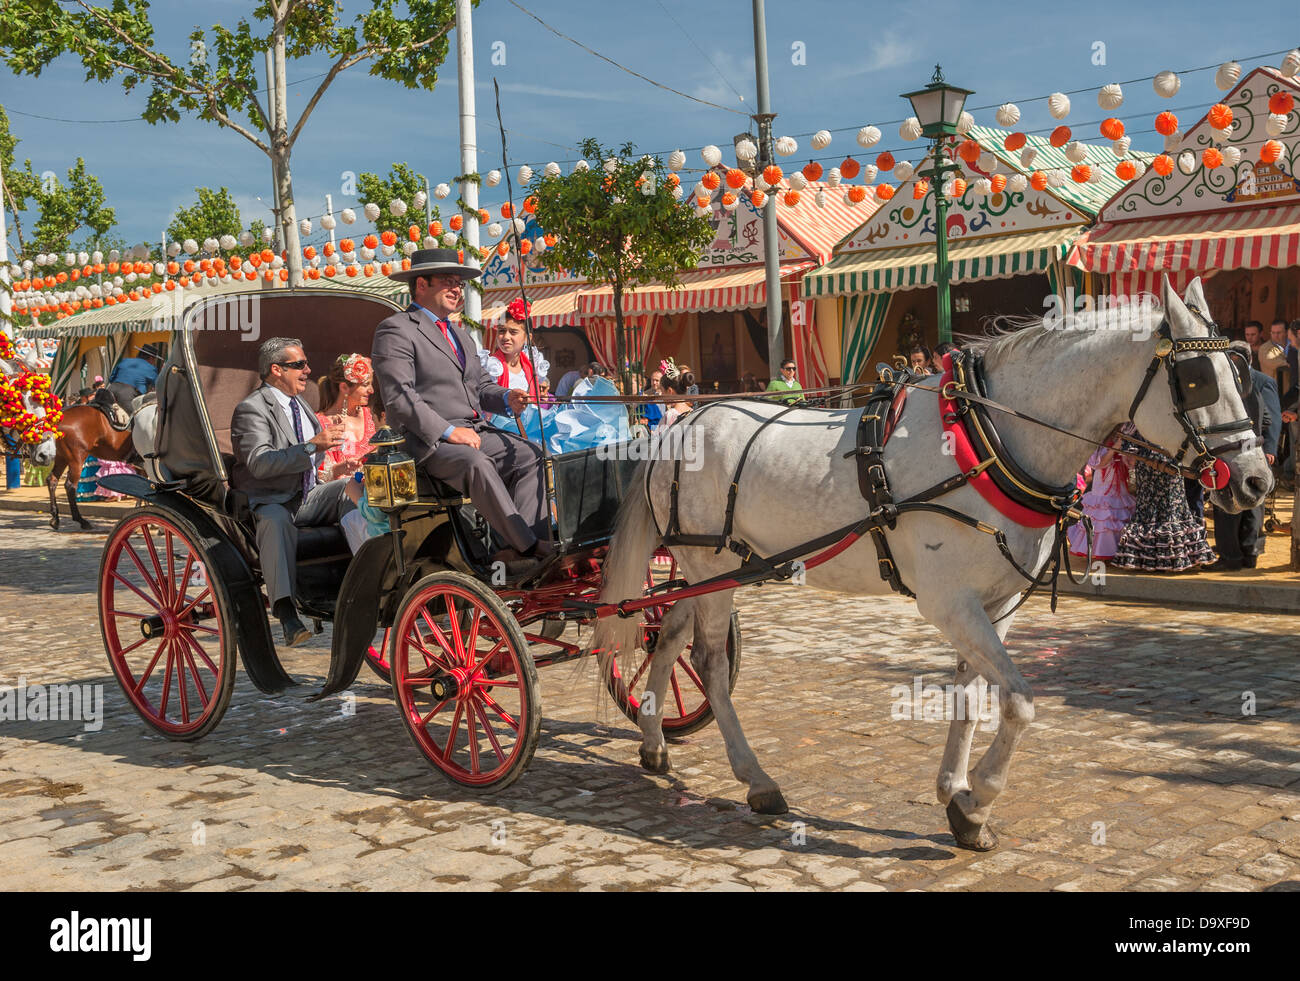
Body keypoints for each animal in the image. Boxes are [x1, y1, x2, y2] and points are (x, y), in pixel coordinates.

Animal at [47, 402, 139, 532]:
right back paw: (81, 520)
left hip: (62, 458)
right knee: (70, 486)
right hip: (76, 459)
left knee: (52, 480)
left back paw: (55, 518)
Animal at [595, 278, 1274, 852]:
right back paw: (756, 779)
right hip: (712, 568)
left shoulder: (995, 604)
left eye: (1239, 371)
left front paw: (957, 795)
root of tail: (679, 423)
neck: (989, 440)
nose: (1257, 480)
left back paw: (654, 743)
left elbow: (970, 695)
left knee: (665, 638)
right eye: (1197, 378)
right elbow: (1019, 703)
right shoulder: (949, 604)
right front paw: (978, 800)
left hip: (702, 569)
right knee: (710, 662)